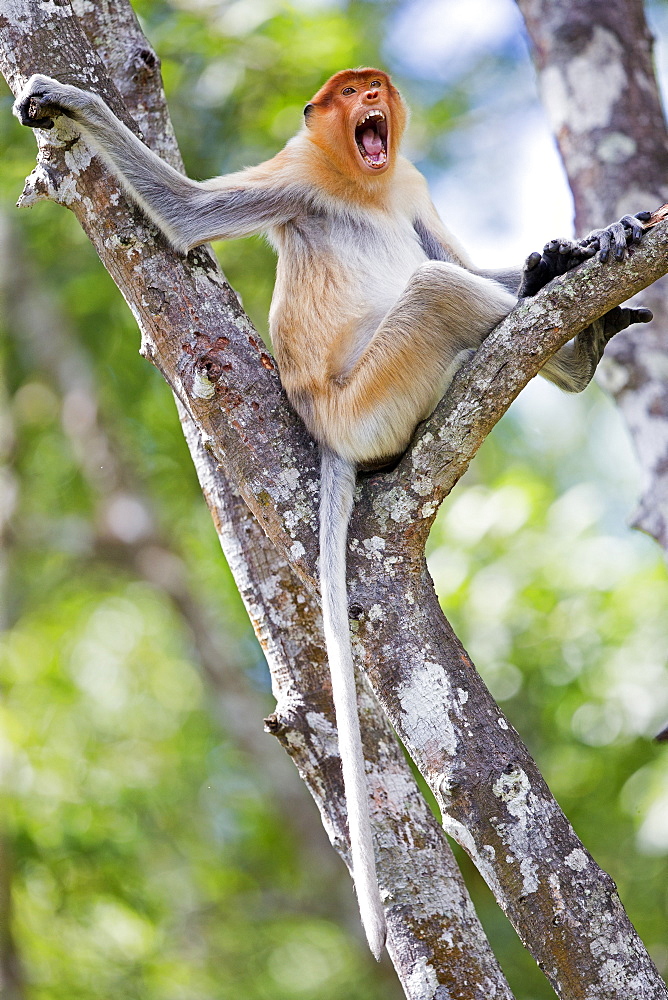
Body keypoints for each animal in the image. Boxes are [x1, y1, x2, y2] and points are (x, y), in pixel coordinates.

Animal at [13, 66, 652, 956]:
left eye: (371, 87)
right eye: (346, 93)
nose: (368, 98)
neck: (363, 183)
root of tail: (330, 435)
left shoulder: (408, 185)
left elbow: (447, 247)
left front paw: (579, 247)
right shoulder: (298, 173)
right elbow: (187, 214)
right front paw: (66, 101)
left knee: (445, 276)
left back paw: (567, 306)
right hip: (376, 396)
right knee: (433, 290)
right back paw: (578, 346)